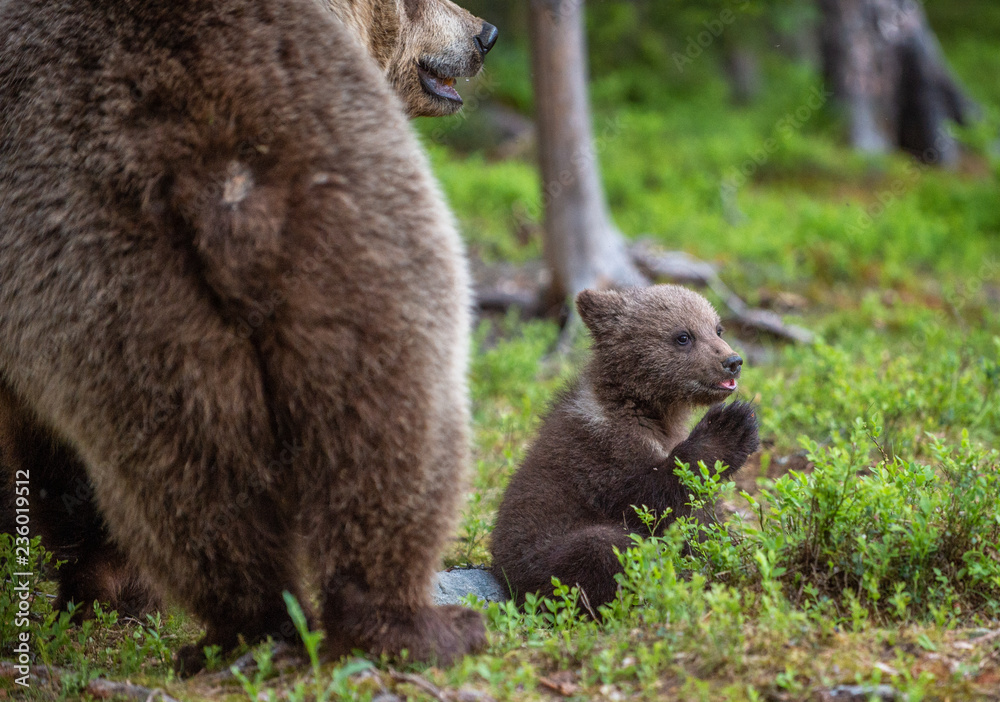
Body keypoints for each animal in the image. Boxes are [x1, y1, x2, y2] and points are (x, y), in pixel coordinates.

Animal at [0, 0, 496, 674]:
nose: (484, 35)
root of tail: (230, 178)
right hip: (366, 223)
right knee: (393, 418)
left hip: (126, 286)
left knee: (190, 468)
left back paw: (256, 629)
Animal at [490, 285, 760, 609]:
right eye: (683, 336)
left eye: (717, 328)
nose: (733, 361)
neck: (648, 409)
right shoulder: (603, 452)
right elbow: (649, 500)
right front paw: (731, 425)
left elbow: (698, 515)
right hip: (540, 559)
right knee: (603, 547)